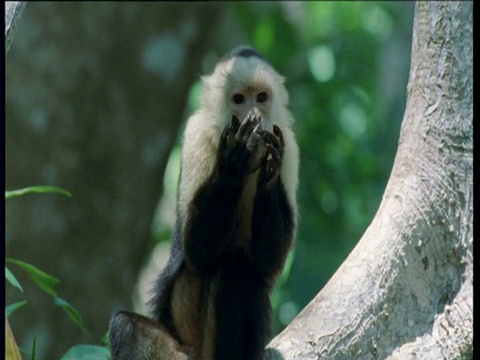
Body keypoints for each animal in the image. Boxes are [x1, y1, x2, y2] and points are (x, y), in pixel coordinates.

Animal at [110, 47, 298, 360]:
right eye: (239, 100)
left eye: (261, 98)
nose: (254, 115)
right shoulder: (197, 132)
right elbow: (198, 250)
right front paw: (234, 162)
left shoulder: (289, 143)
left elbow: (268, 264)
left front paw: (270, 168)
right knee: (126, 327)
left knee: (242, 269)